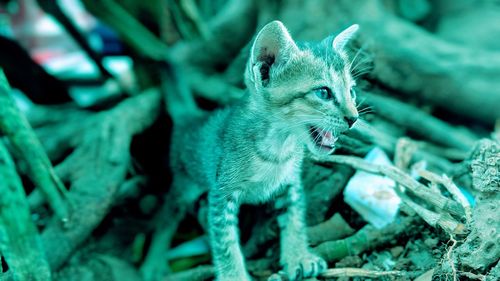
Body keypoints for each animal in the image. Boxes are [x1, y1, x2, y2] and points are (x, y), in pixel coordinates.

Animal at [149, 20, 360, 280]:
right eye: (323, 92)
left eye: (351, 91)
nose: (354, 118)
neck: (277, 147)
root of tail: (193, 118)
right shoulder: (221, 195)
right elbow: (226, 245)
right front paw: (234, 276)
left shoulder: (290, 184)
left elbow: (295, 219)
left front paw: (298, 256)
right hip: (185, 183)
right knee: (167, 214)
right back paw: (153, 261)